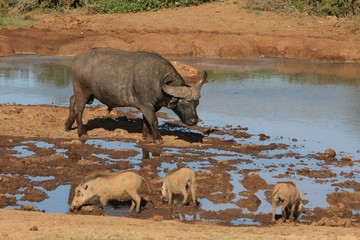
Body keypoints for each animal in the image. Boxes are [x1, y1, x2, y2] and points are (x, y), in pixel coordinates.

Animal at [64, 47, 205, 143]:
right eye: (184, 103)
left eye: (197, 103)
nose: (194, 121)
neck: (158, 81)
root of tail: (77, 60)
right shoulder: (146, 105)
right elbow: (154, 120)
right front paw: (158, 138)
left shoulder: (152, 107)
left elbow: (146, 121)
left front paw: (146, 136)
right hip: (82, 91)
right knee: (79, 109)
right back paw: (81, 133)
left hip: (88, 94)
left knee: (72, 100)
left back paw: (67, 125)